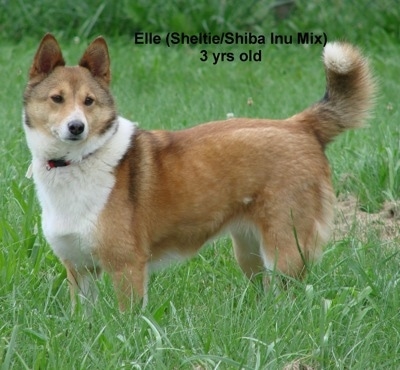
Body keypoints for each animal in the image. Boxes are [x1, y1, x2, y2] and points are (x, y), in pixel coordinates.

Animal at [22, 34, 376, 310]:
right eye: (57, 99)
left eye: (89, 101)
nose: (76, 127)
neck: (79, 162)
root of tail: (300, 125)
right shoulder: (79, 271)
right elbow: (85, 318)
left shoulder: (127, 268)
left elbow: (127, 319)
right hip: (250, 251)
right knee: (266, 291)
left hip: (285, 249)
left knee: (292, 297)